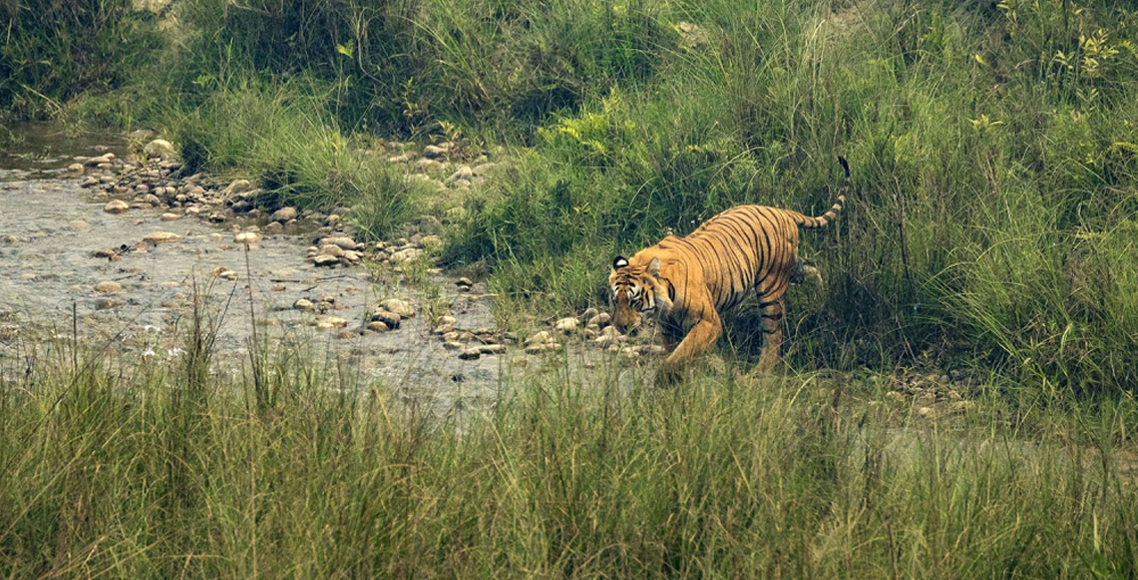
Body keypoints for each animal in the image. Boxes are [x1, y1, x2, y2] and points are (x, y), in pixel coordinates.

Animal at [609, 156, 849, 378]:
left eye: (635, 301)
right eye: (615, 301)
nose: (621, 327)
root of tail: (782, 211)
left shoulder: (708, 322)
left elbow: (681, 354)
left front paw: (666, 379)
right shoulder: (668, 327)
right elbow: (676, 353)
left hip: (771, 288)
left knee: (773, 335)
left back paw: (761, 371)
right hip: (790, 268)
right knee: (813, 269)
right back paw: (821, 296)